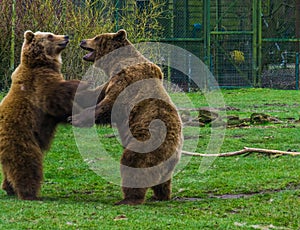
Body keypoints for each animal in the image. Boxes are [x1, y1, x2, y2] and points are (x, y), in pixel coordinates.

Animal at [0, 30, 97, 199]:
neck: (41, 63)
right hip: (20, 135)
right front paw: (84, 83)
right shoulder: (38, 84)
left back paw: (9, 187)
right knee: (26, 161)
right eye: (50, 35)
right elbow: (57, 96)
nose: (66, 37)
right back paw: (29, 192)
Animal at [71, 29, 183, 205]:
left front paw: (74, 118)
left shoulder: (125, 83)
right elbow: (94, 95)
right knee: (163, 181)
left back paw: (129, 199)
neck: (116, 63)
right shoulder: (110, 82)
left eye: (96, 38)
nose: (82, 40)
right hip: (167, 164)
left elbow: (107, 106)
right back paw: (160, 195)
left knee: (132, 166)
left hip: (145, 144)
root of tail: (174, 149)